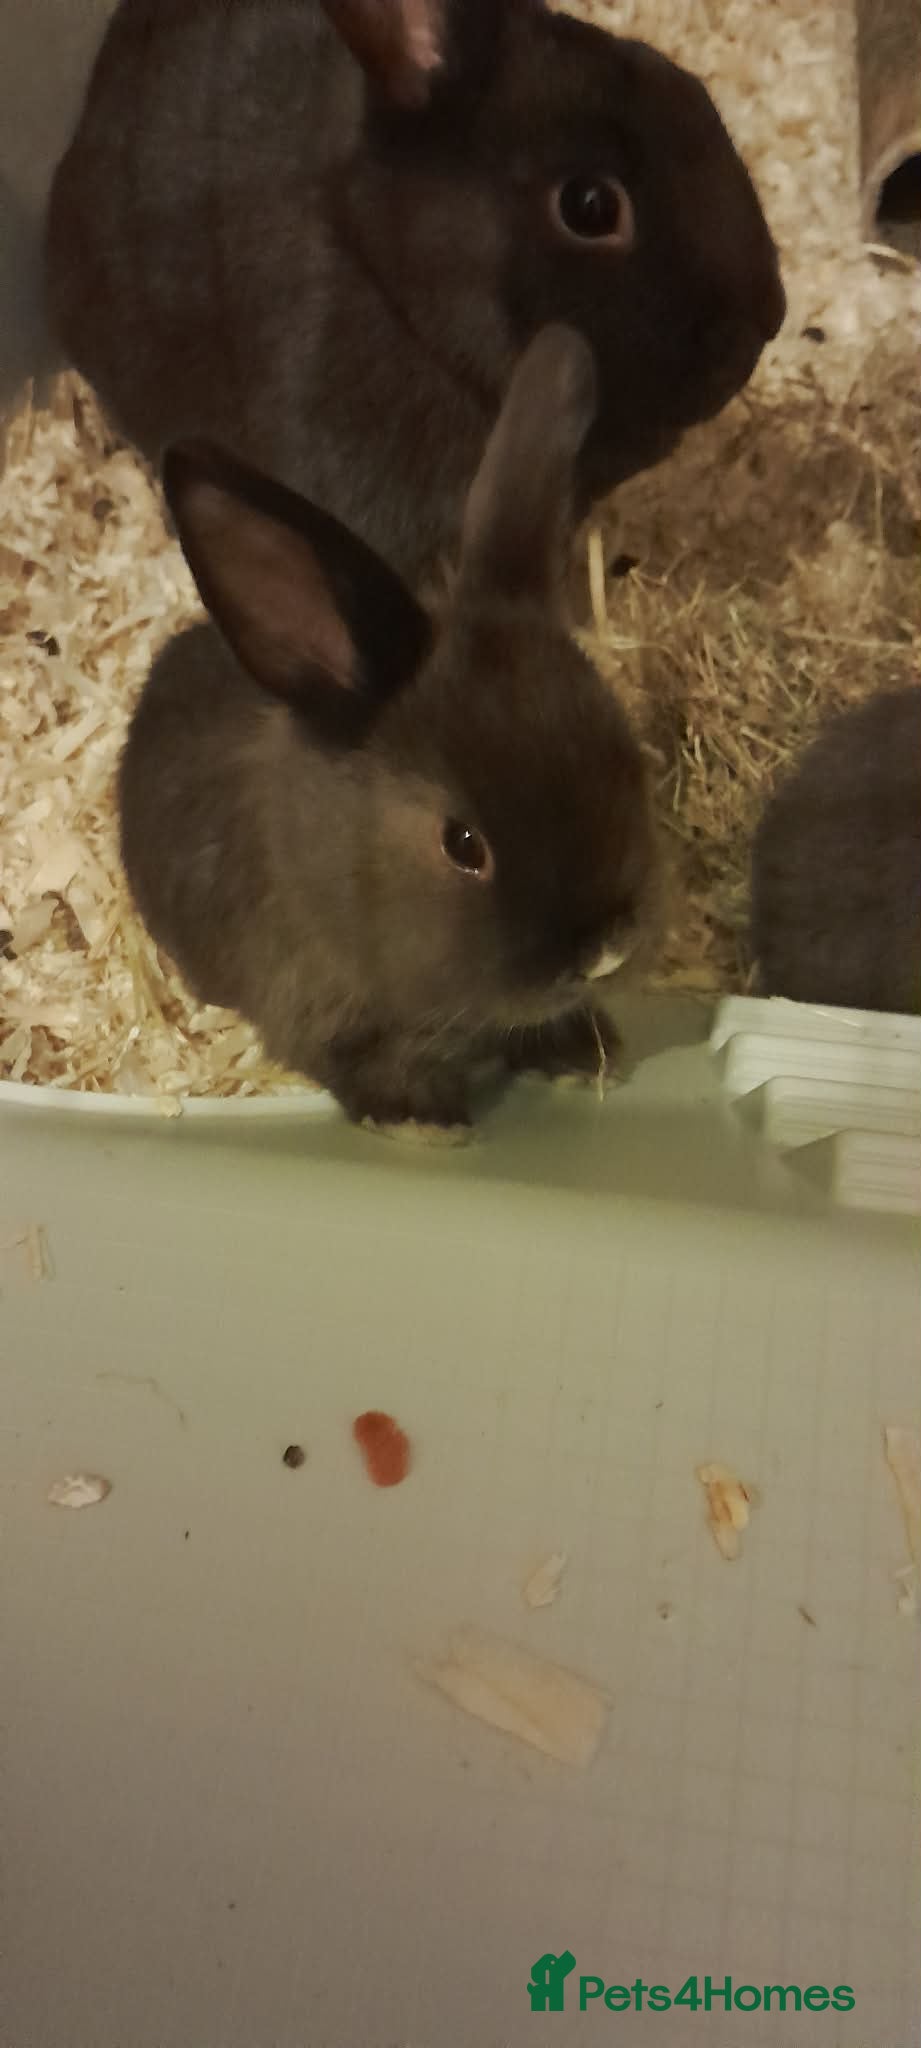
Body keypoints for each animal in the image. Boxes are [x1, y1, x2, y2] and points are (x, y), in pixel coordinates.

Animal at [118, 325, 659, 1136]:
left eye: (626, 757)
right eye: (462, 845)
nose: (604, 951)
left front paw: (586, 1054)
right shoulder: (321, 1017)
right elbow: (366, 1070)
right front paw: (425, 1122)